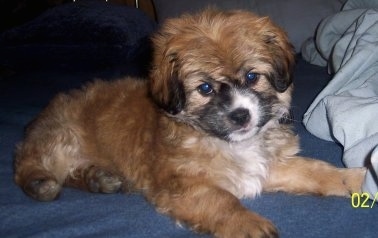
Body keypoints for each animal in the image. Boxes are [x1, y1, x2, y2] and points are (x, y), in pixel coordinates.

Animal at [14, 9, 366, 238]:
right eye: (205, 88)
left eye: (252, 77)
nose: (241, 115)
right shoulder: (184, 186)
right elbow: (221, 201)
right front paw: (248, 225)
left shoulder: (268, 166)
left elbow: (314, 170)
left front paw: (354, 179)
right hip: (60, 141)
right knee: (29, 167)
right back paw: (41, 183)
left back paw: (100, 179)